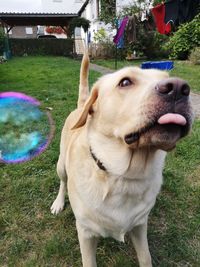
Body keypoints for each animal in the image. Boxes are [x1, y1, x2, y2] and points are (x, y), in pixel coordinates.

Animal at [50, 52, 193, 267]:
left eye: (166, 76)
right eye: (125, 82)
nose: (179, 88)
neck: (124, 175)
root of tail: (81, 105)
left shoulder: (140, 225)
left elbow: (145, 257)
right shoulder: (85, 232)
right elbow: (89, 261)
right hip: (61, 166)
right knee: (62, 182)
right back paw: (58, 203)